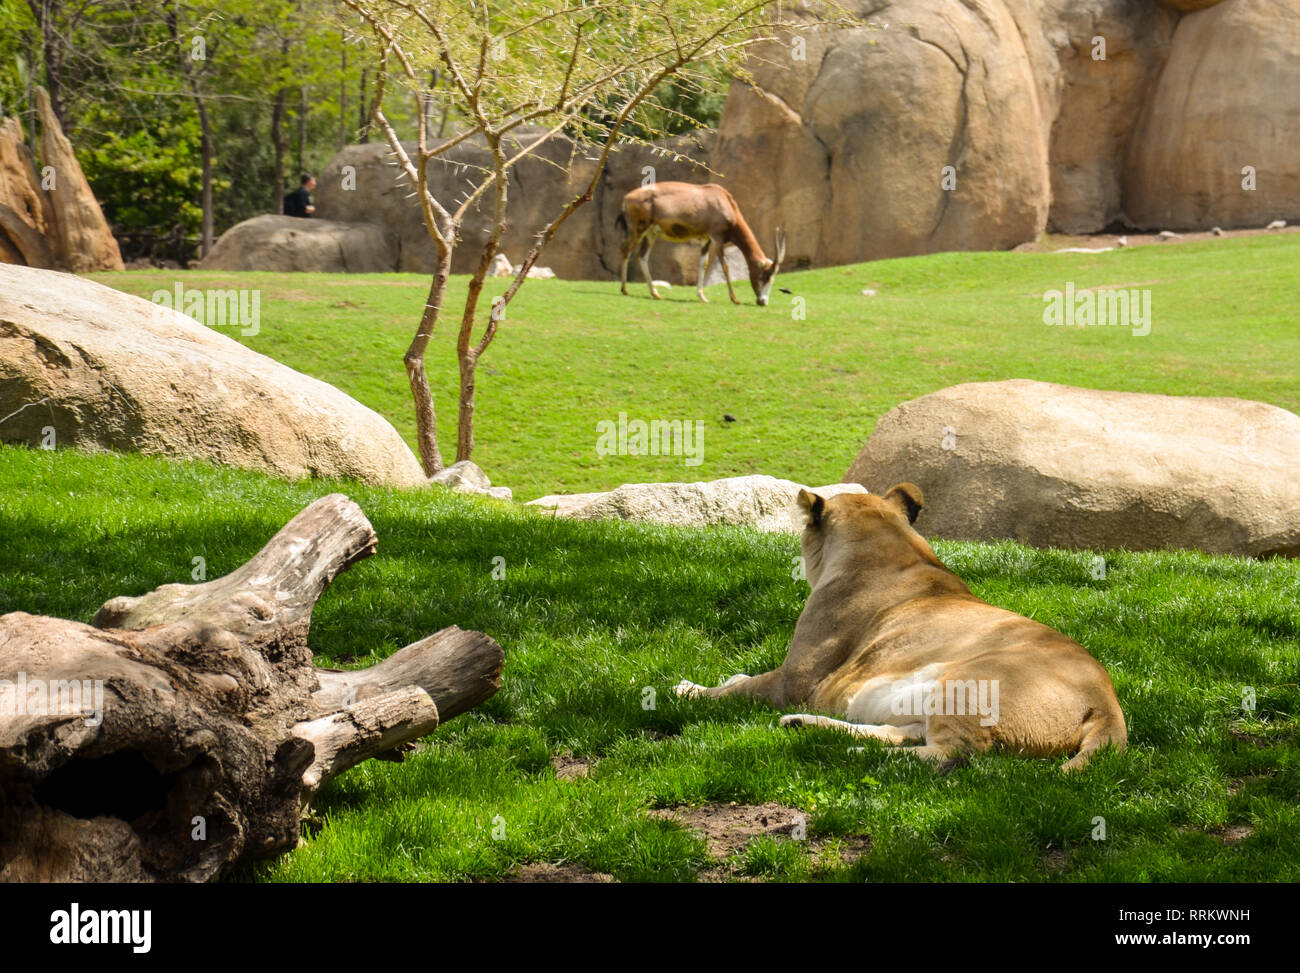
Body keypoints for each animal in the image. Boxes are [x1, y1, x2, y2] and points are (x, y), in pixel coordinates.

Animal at [616, 182, 785, 304]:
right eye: (765, 276)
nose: (763, 302)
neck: (722, 200)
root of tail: (626, 198)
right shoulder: (717, 239)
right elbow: (725, 266)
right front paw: (735, 299)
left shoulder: (706, 240)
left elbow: (703, 264)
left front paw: (702, 297)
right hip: (638, 230)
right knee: (625, 250)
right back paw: (624, 290)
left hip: (652, 233)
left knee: (642, 256)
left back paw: (655, 293)